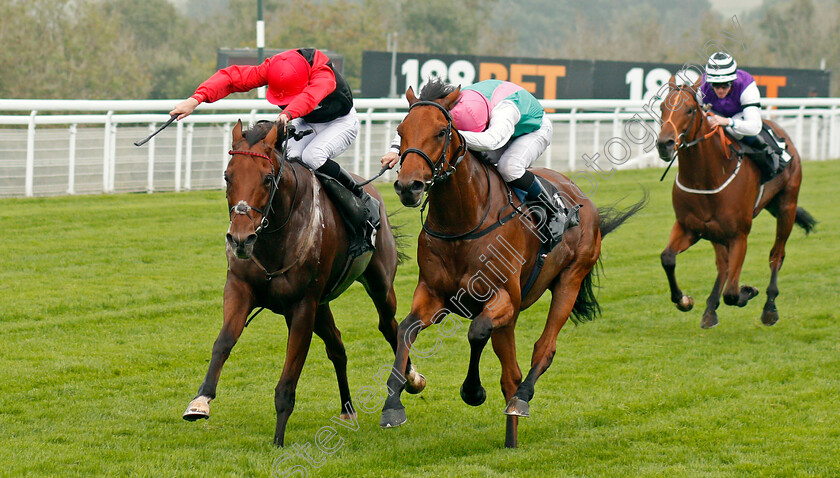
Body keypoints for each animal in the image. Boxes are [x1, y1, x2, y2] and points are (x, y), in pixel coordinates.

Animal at [180, 118, 424, 444]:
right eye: (227, 176)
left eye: (267, 178)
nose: (241, 239)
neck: (274, 237)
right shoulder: (240, 289)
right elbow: (223, 342)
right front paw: (200, 401)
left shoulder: (302, 307)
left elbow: (288, 377)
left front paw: (278, 440)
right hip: (322, 306)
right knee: (337, 347)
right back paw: (348, 409)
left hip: (379, 285)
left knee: (390, 327)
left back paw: (411, 378)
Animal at [380, 84, 644, 446]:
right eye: (400, 131)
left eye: (441, 131)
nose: (408, 186)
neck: (463, 222)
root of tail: (584, 200)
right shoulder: (433, 294)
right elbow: (405, 328)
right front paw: (394, 402)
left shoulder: (504, 298)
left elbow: (477, 332)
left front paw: (473, 391)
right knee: (511, 373)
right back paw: (511, 436)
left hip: (569, 280)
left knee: (541, 352)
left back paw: (522, 400)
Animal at [656, 76, 812, 330]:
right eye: (662, 107)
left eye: (689, 110)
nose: (664, 144)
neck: (707, 177)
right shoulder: (689, 227)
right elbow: (667, 258)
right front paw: (684, 300)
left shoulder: (739, 235)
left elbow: (731, 293)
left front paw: (747, 291)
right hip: (715, 231)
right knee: (723, 264)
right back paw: (710, 309)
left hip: (786, 207)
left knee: (776, 255)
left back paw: (770, 308)